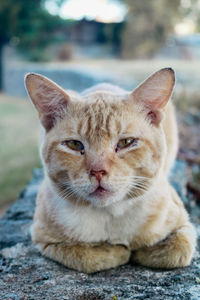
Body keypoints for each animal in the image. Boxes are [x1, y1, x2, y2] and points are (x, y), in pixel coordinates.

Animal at [24, 68, 195, 274]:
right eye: (74, 145)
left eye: (126, 142)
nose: (98, 171)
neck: (110, 215)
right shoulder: (44, 239)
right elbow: (87, 257)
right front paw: (117, 251)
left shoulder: (185, 225)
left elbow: (173, 252)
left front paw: (140, 251)